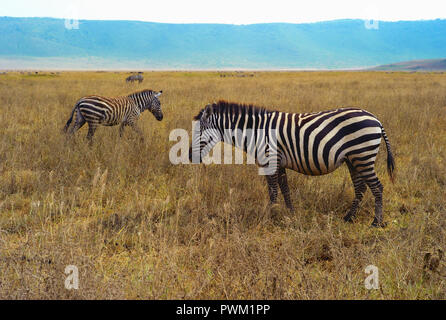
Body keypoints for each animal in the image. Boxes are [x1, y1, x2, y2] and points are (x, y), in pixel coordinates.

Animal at [188, 101, 394, 226]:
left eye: (199, 132)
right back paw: (349, 217)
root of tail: (376, 119)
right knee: (361, 187)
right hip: (354, 159)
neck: (255, 132)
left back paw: (376, 222)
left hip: (363, 155)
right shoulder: (279, 163)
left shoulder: (270, 160)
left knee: (377, 187)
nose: (190, 156)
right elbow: (285, 189)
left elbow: (273, 191)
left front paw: (269, 216)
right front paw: (290, 213)